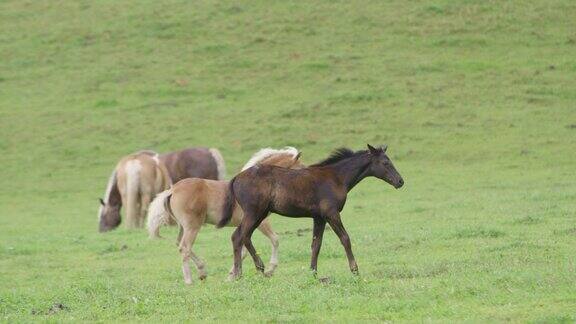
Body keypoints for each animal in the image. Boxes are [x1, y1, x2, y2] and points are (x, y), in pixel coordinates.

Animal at [146, 146, 304, 284]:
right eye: (300, 169)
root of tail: (172, 190)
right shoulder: (260, 222)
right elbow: (275, 239)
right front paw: (270, 269)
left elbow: (243, 250)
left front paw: (231, 275)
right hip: (192, 227)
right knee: (184, 247)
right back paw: (189, 280)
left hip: (183, 227)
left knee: (181, 245)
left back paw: (202, 272)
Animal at [218, 144, 402, 278]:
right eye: (386, 163)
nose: (400, 181)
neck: (336, 178)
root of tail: (236, 178)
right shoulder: (331, 213)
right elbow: (345, 239)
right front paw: (354, 270)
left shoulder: (319, 217)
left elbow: (316, 244)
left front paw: (313, 273)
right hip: (254, 212)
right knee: (239, 236)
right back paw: (244, 272)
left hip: (260, 214)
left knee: (241, 236)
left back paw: (254, 270)